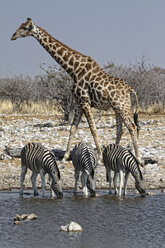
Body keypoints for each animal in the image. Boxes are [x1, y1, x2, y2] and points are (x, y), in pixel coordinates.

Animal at [10, 18, 142, 165]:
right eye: (20, 26)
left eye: (25, 28)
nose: (13, 36)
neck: (73, 70)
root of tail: (130, 90)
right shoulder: (79, 103)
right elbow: (73, 128)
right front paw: (65, 157)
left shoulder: (85, 101)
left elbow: (93, 129)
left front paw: (100, 157)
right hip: (117, 108)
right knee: (120, 129)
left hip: (122, 106)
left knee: (132, 127)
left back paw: (138, 159)